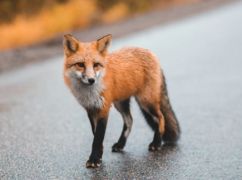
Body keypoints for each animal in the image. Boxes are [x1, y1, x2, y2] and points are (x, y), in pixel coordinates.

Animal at [62, 33, 180, 169]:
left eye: (96, 64)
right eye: (80, 64)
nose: (91, 80)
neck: (90, 93)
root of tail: (150, 52)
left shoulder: (104, 108)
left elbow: (98, 138)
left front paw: (94, 159)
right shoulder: (90, 109)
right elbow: (96, 135)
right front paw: (99, 156)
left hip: (146, 101)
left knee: (161, 118)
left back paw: (156, 143)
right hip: (121, 103)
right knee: (130, 120)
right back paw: (121, 144)